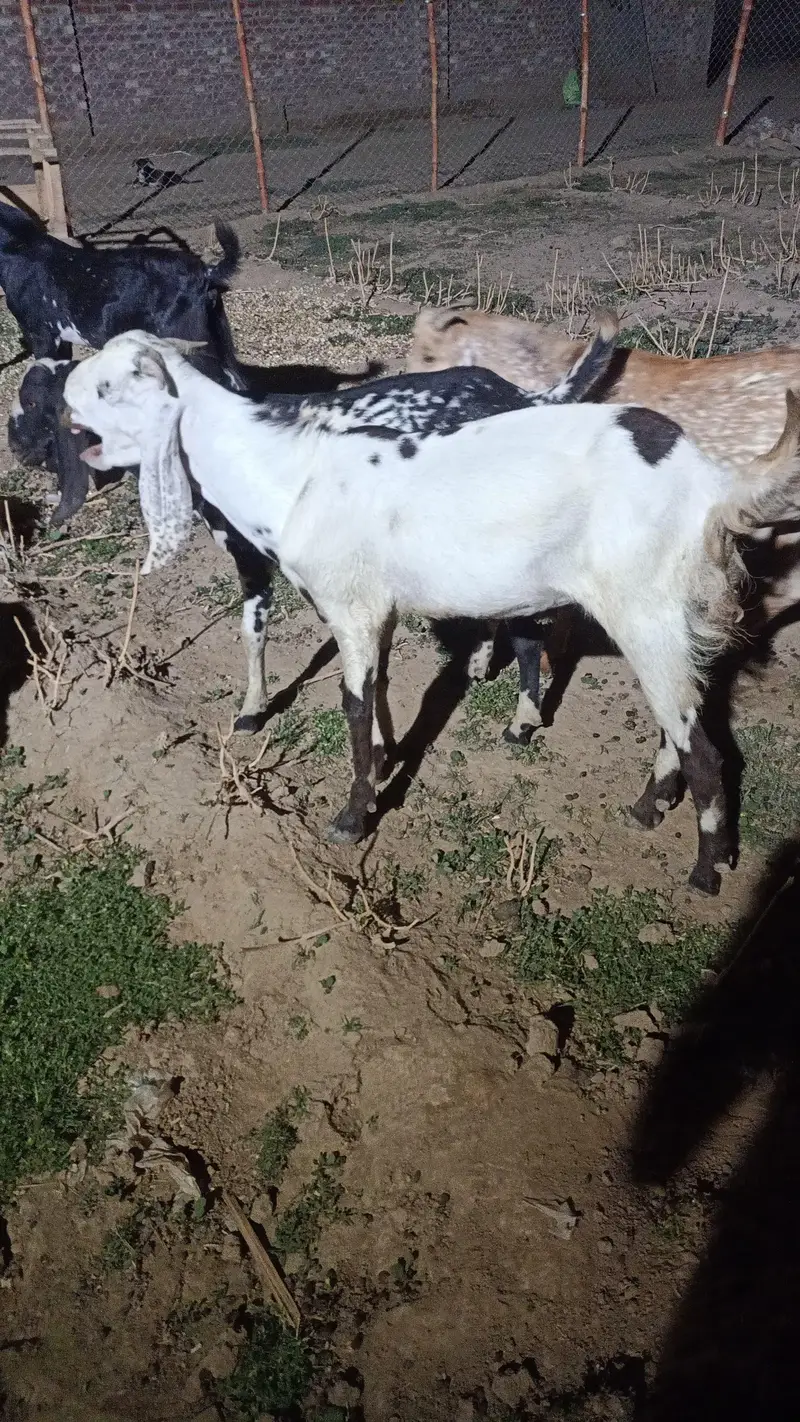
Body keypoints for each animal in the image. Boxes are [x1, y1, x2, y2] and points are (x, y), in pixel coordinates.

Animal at [63, 331, 800, 895]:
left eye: (111, 386)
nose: (65, 391)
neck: (291, 471)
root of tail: (713, 484)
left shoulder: (350, 606)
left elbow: (354, 707)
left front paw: (352, 818)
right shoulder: (377, 610)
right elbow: (380, 693)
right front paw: (387, 764)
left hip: (647, 610)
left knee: (704, 748)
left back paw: (705, 872)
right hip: (671, 616)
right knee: (681, 718)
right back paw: (649, 808)